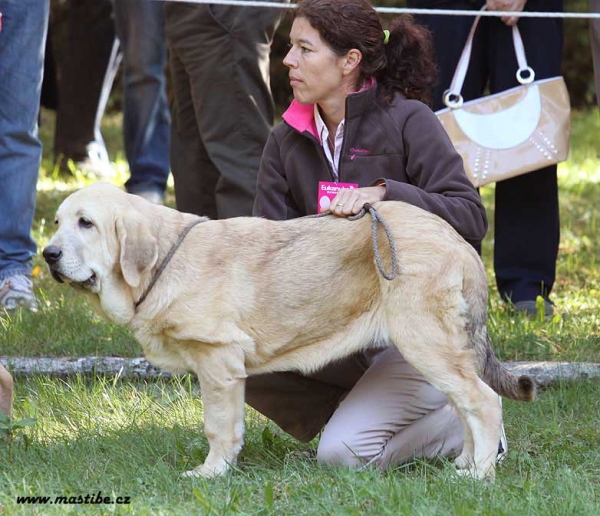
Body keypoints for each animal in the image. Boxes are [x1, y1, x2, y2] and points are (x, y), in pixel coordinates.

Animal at [43, 183, 536, 482]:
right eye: (58, 223)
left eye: (87, 223)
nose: (48, 254)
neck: (165, 259)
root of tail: (457, 241)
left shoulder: (218, 361)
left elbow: (217, 427)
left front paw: (212, 473)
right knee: (466, 405)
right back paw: (467, 462)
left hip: (425, 342)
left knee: (483, 402)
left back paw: (479, 474)